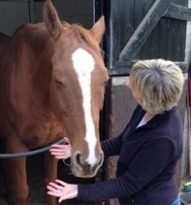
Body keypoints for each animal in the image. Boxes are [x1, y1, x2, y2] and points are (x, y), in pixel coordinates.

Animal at [0, 0, 109, 204]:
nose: (89, 161)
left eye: (105, 80)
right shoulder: (16, 145)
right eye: (58, 80)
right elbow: (21, 191)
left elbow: (51, 184)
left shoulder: (53, 144)